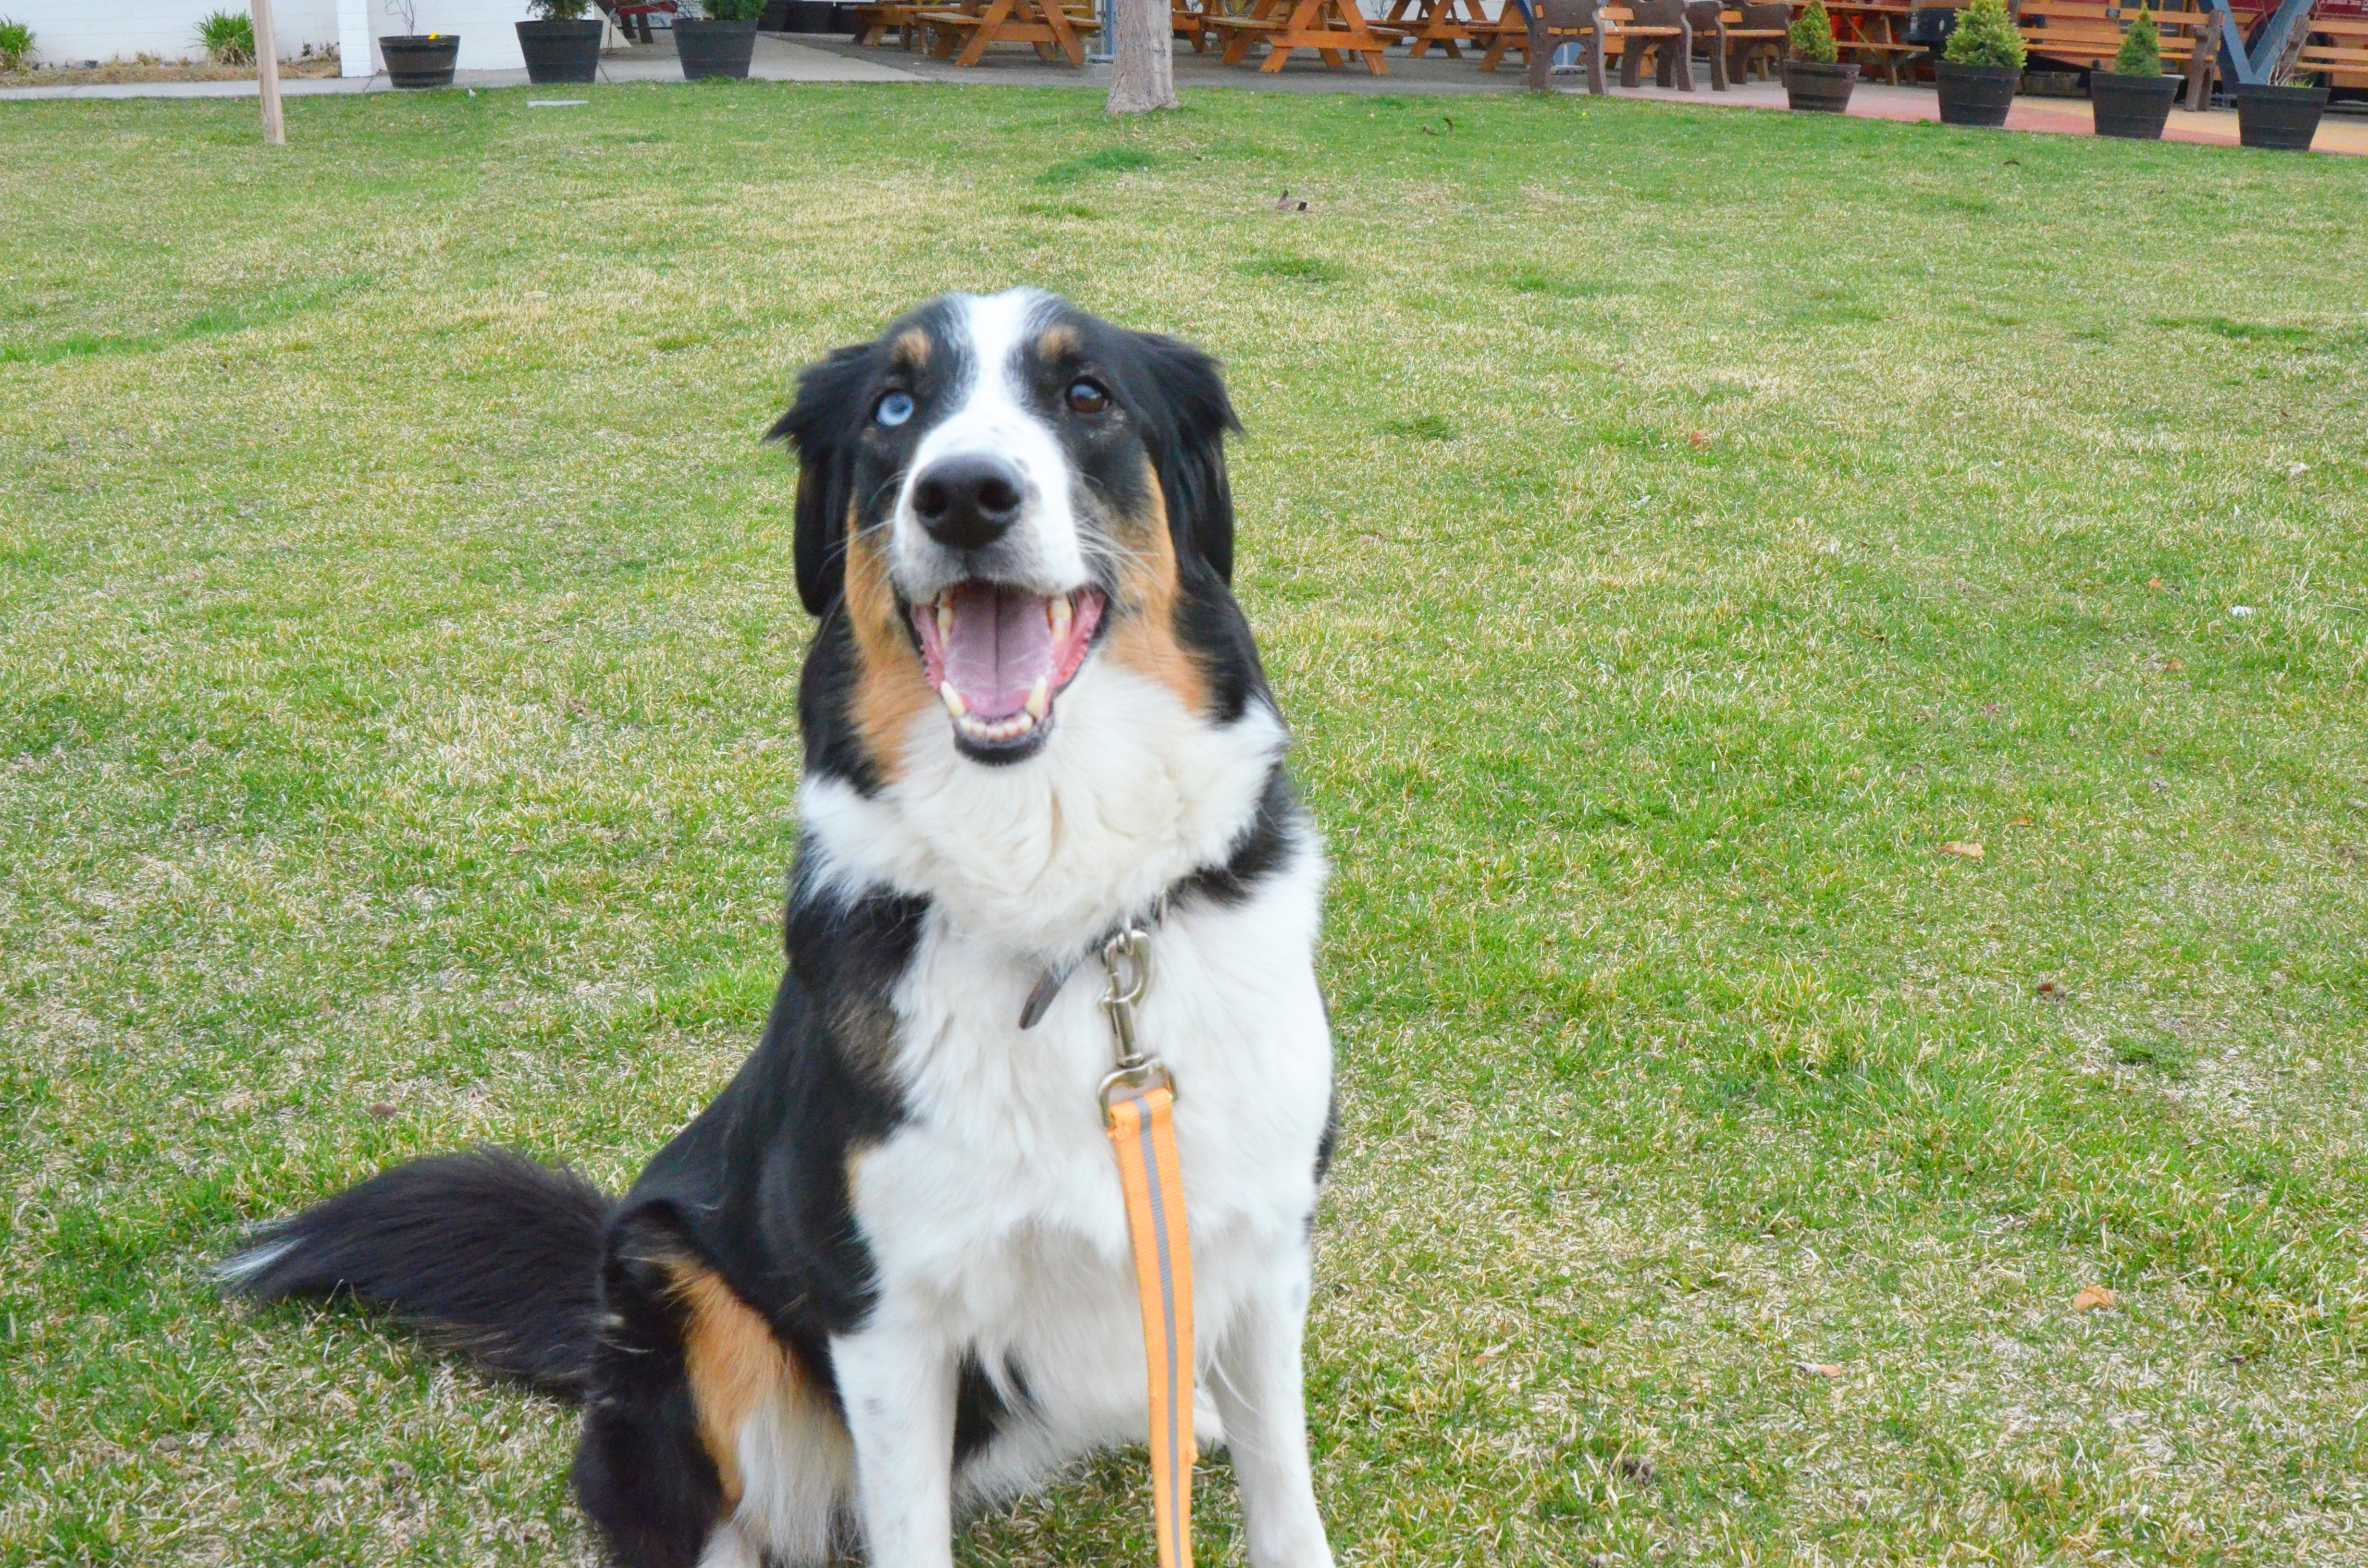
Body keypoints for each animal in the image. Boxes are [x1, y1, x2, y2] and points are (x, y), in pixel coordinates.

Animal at [228, 291, 1345, 1568]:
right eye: (895, 411)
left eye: (1087, 396)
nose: (963, 494)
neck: (1058, 903)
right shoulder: (885, 1307)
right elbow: (908, 1531)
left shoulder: (1261, 1238)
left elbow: (1284, 1494)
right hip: (679, 1280)